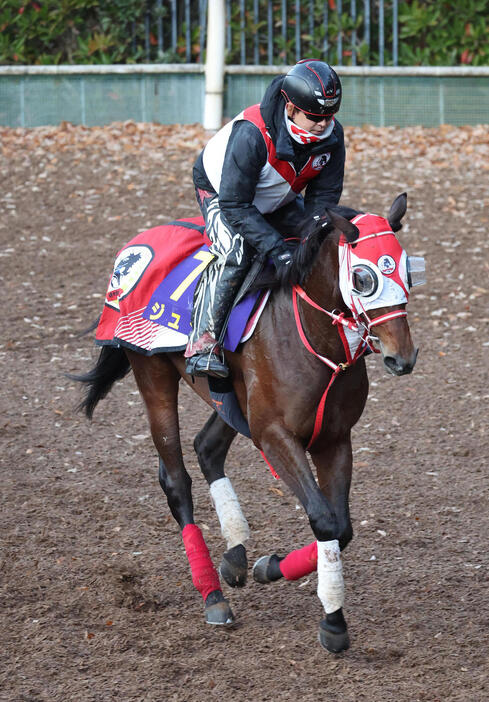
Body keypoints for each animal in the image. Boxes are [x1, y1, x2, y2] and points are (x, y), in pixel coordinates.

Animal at [72, 192, 424, 656]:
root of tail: (136, 245)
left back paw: (235, 557)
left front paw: (268, 567)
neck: (313, 339)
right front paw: (332, 620)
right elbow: (325, 520)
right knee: (176, 480)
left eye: (406, 271)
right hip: (152, 373)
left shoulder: (334, 439)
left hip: (231, 401)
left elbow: (342, 527)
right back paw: (212, 595)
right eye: (363, 277)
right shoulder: (274, 436)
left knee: (206, 448)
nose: (402, 357)